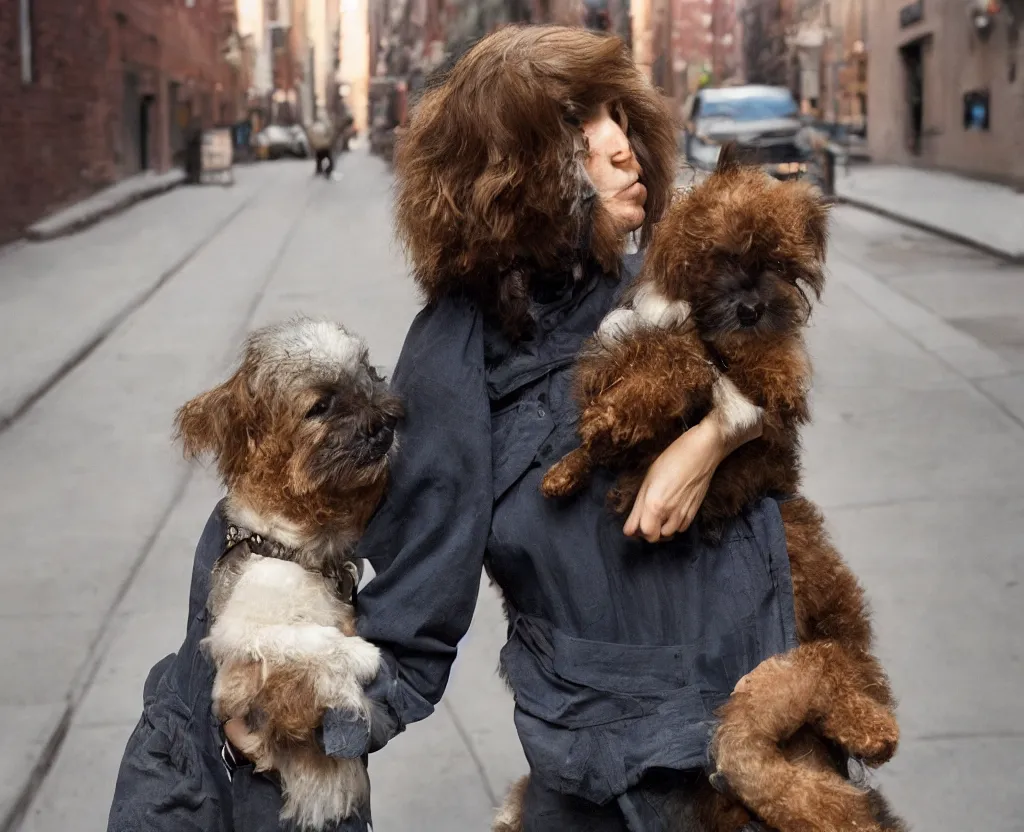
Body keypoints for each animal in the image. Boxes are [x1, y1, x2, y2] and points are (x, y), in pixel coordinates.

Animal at [174, 317, 401, 832]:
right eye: (320, 407)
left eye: (368, 373)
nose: (388, 421)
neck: (296, 552)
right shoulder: (234, 647)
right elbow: (307, 640)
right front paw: (359, 658)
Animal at [528, 152, 905, 832]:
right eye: (724, 257)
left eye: (779, 264)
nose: (753, 307)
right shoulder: (636, 344)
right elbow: (659, 371)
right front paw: (587, 450)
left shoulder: (754, 382)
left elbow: (740, 370)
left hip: (819, 586)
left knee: (845, 667)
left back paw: (873, 730)